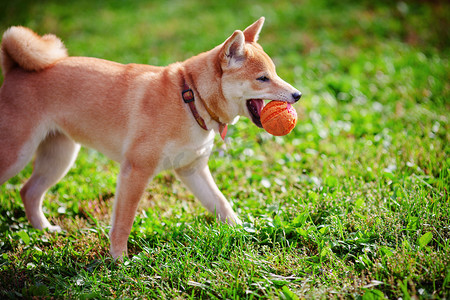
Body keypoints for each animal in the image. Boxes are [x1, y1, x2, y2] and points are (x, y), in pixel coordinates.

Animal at [0, 17, 302, 258]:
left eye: (275, 73)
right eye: (262, 78)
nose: (298, 95)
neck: (190, 98)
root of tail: (16, 69)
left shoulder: (192, 170)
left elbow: (222, 204)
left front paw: (242, 232)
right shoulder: (136, 170)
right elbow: (123, 223)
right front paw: (118, 261)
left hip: (59, 157)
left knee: (29, 191)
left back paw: (44, 231)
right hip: (17, 155)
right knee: (26, 187)